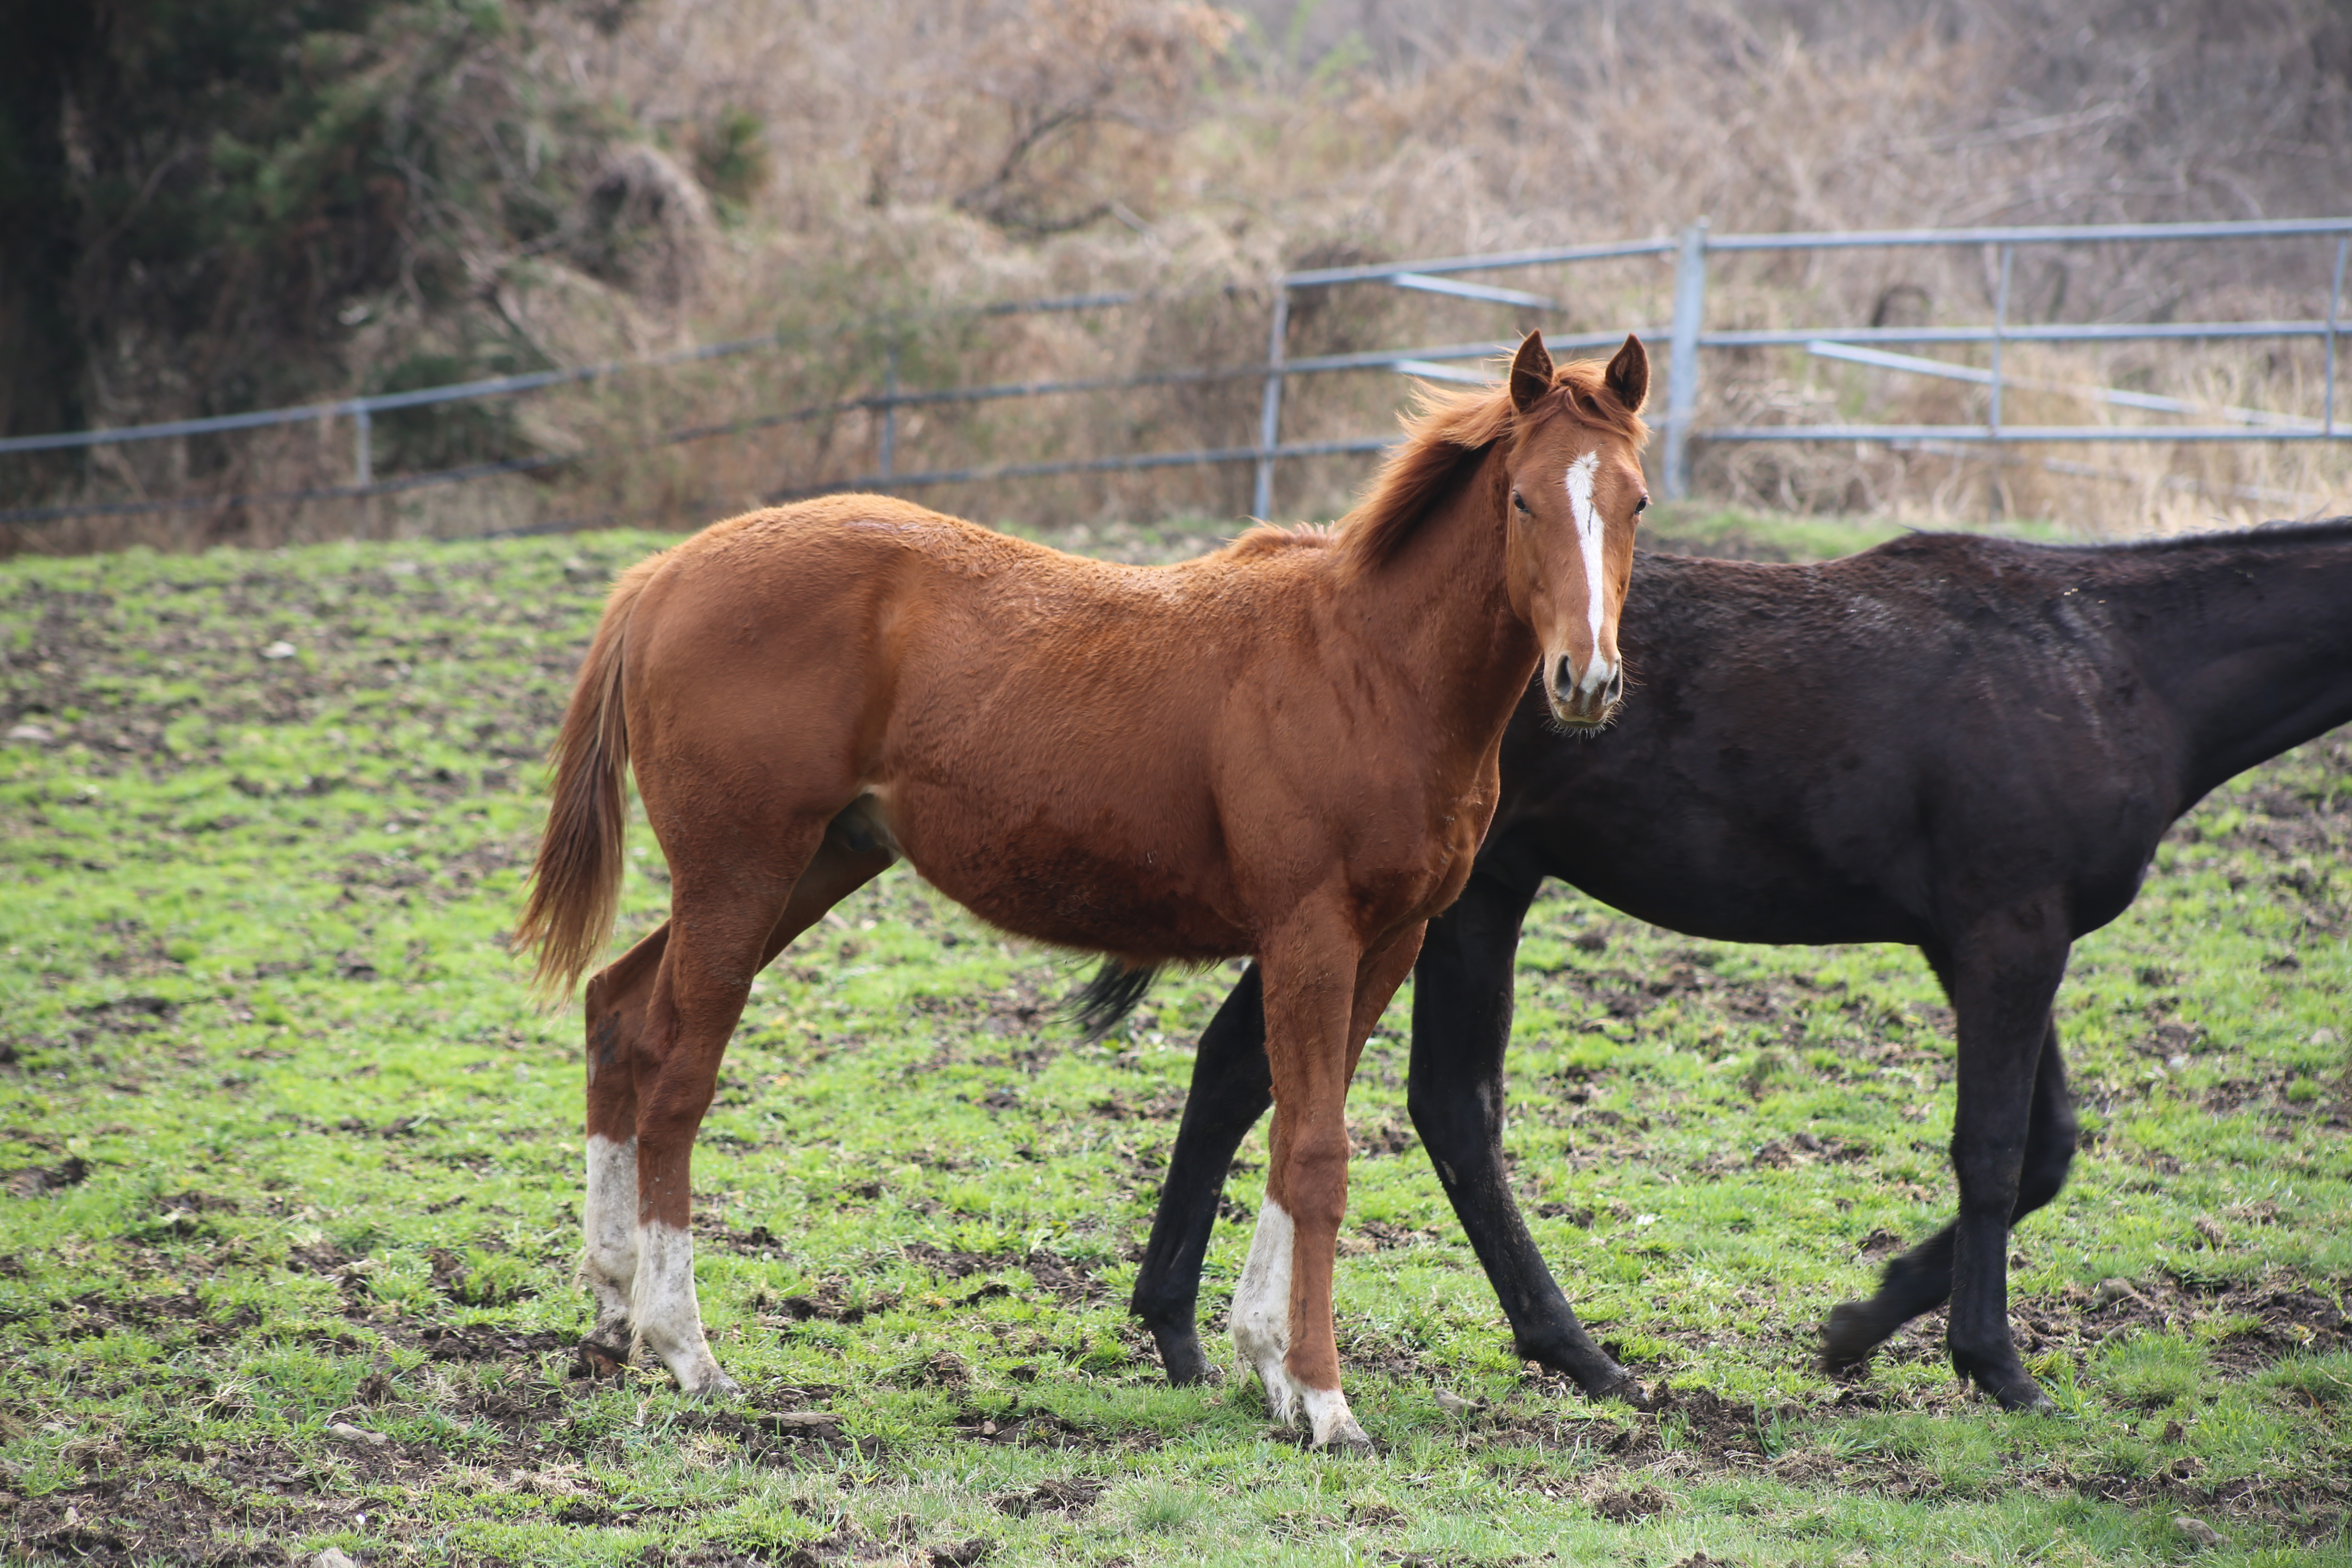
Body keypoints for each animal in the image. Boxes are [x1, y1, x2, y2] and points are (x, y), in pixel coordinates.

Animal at [515, 339, 1656, 1457]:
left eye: (1636, 501)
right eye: (1521, 499)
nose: (1586, 680)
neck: (1365, 665)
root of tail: (664, 574)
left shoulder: (1391, 936)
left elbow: (1293, 1134)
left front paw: (1271, 1369)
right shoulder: (1311, 933)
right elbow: (1315, 1155)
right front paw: (1327, 1402)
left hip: (810, 865)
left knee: (619, 1012)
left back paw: (612, 1315)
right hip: (742, 869)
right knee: (678, 1078)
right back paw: (686, 1349)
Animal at [1124, 522, 2352, 1420]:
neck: (2105, 660)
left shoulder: (1983, 942)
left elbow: (2043, 1150)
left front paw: (1856, 1327)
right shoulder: (2010, 933)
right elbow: (1995, 1154)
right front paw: (1994, 1366)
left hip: (1462, 898)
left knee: (1312, 1081)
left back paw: (1188, 1329)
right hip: (1430, 903)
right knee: (1397, 1096)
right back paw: (1567, 1355)